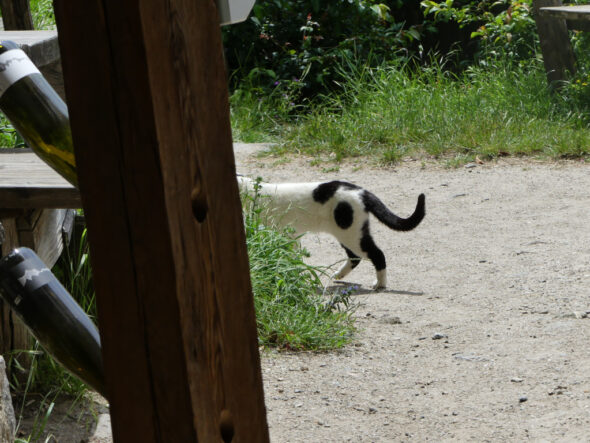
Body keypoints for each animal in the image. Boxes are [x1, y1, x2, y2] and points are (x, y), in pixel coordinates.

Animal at [238, 177, 428, 292]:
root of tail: (361, 191)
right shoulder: (288, 237)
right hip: (348, 233)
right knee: (355, 257)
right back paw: (338, 275)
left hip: (350, 233)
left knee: (377, 254)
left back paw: (380, 284)